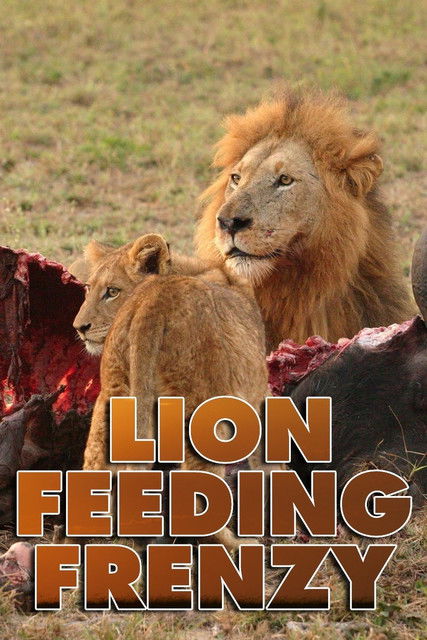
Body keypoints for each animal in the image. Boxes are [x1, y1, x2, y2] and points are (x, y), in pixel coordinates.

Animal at [73, 233, 268, 549]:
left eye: (111, 291)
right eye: (90, 289)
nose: (79, 327)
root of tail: (152, 301)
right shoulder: (259, 390)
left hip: (113, 398)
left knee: (94, 466)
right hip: (200, 405)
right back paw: (234, 544)